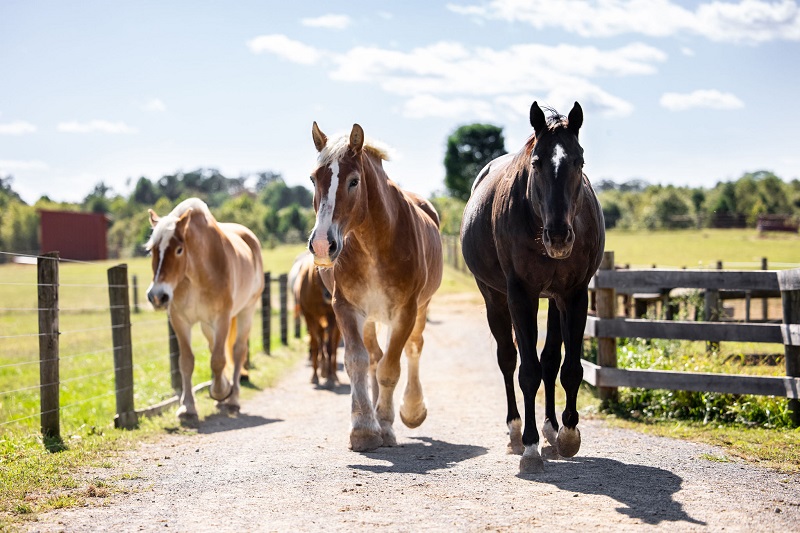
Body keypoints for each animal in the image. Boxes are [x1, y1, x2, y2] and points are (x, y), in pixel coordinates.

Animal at [145, 197, 264, 424]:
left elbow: (218, 360)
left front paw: (220, 392)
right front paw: (187, 407)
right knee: (215, 348)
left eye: (179, 250)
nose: (157, 296)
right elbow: (186, 362)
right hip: (206, 325)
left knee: (238, 351)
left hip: (246, 311)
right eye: (152, 250)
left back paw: (232, 399)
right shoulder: (180, 321)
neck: (198, 273)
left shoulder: (222, 319)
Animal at [291, 252, 341, 388]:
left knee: (334, 345)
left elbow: (329, 347)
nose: (330, 294)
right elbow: (315, 344)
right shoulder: (309, 316)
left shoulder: (332, 317)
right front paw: (315, 377)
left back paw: (333, 374)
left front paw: (330, 377)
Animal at [307, 122, 443, 451]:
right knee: (373, 357)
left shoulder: (405, 312)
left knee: (412, 349)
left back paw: (410, 409)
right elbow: (357, 361)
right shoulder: (345, 307)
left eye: (354, 181)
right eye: (313, 179)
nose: (322, 245)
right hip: (369, 317)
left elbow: (391, 369)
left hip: (421, 309)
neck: (374, 243)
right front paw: (364, 428)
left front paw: (387, 422)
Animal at [460, 101, 605, 473]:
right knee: (508, 359)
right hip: (495, 298)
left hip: (552, 300)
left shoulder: (573, 294)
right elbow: (527, 371)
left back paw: (551, 430)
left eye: (579, 161)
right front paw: (529, 446)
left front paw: (567, 433)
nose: (558, 236)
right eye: (537, 163)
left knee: (550, 361)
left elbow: (568, 368)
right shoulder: (521, 295)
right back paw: (515, 431)